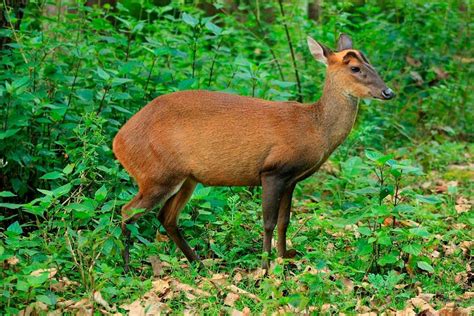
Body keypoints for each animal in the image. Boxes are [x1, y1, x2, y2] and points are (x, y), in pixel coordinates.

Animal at [113, 34, 394, 272]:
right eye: (354, 68)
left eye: (371, 65)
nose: (388, 92)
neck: (314, 127)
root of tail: (118, 141)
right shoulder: (272, 171)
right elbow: (268, 222)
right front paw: (265, 268)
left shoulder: (291, 179)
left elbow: (284, 221)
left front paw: (284, 262)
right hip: (157, 173)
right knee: (127, 211)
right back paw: (128, 269)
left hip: (186, 178)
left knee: (167, 217)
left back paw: (199, 265)